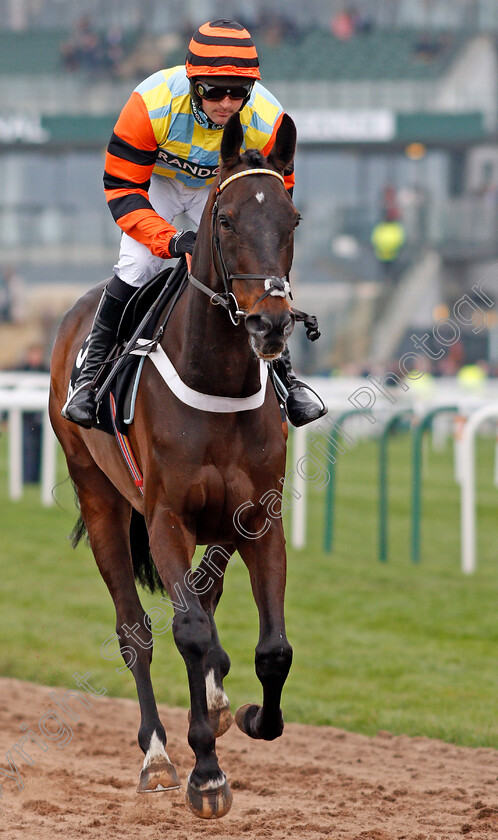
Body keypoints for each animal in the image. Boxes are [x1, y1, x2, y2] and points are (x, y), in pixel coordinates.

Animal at [49, 111, 300, 820]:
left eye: (293, 219)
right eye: (227, 221)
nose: (271, 324)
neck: (216, 379)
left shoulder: (259, 517)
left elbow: (273, 647)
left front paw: (250, 716)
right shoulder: (164, 518)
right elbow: (188, 631)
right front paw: (205, 774)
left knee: (208, 600)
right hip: (99, 497)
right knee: (135, 629)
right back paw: (158, 755)